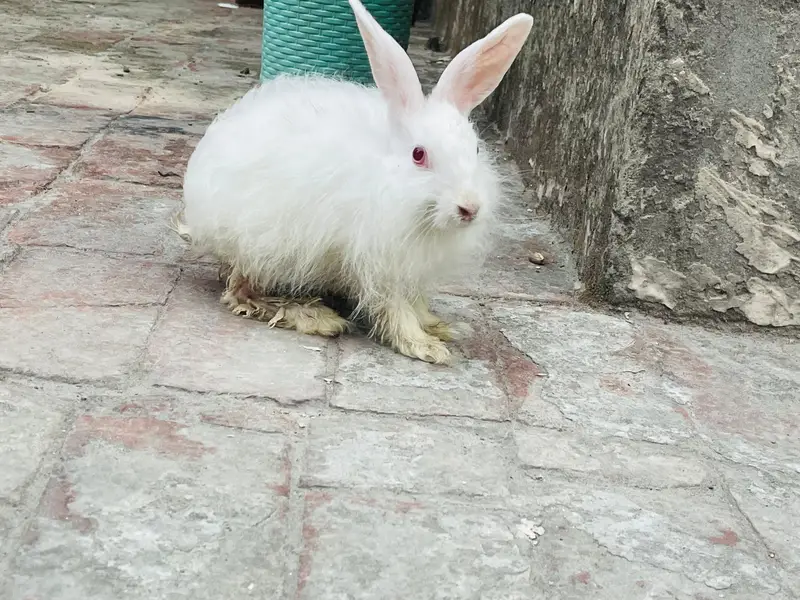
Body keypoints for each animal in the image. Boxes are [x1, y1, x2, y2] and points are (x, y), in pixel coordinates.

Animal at [176, 0, 533, 364]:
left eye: (475, 149)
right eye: (419, 155)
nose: (469, 208)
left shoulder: (411, 270)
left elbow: (416, 303)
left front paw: (440, 326)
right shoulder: (379, 264)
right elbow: (395, 308)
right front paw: (424, 346)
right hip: (261, 248)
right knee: (240, 293)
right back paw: (316, 317)